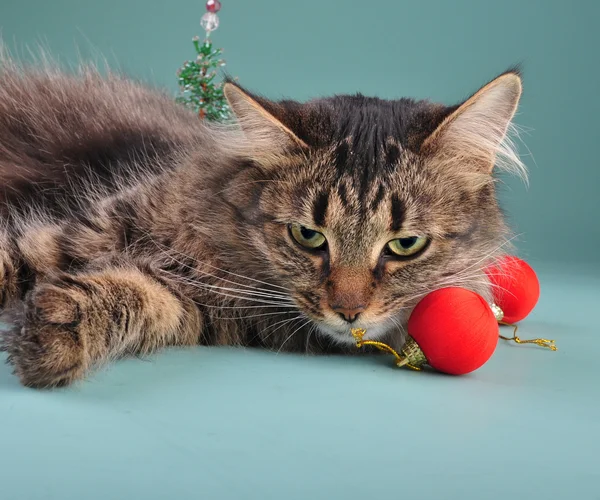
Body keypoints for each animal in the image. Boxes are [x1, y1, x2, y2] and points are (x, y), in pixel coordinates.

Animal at [0, 55, 524, 390]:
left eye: (406, 244)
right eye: (308, 235)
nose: (348, 312)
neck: (224, 247)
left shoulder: (188, 304)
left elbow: (131, 296)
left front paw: (53, 331)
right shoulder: (85, 229)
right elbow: (12, 260)